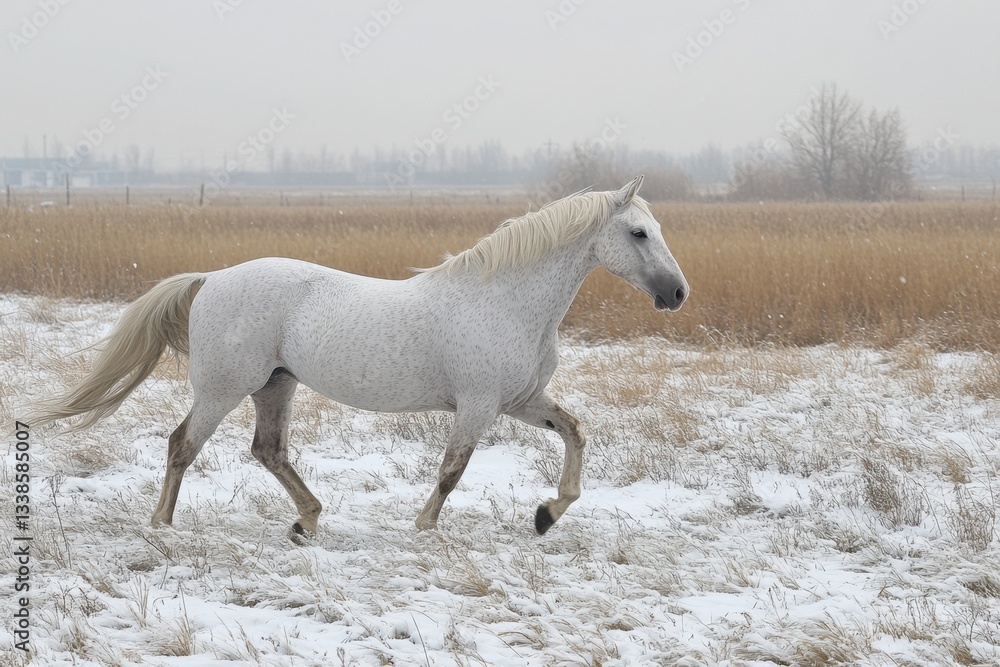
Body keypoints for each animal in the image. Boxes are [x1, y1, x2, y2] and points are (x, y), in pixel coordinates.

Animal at [30, 175, 688, 539]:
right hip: (223, 388)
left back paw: (307, 521)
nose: (677, 294)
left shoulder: (521, 400)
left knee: (267, 451)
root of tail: (213, 277)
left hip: (276, 384)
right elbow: (451, 471)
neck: (505, 299)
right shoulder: (479, 406)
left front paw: (548, 514)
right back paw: (164, 524)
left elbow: (575, 433)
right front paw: (425, 527)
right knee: (183, 444)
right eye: (637, 233)